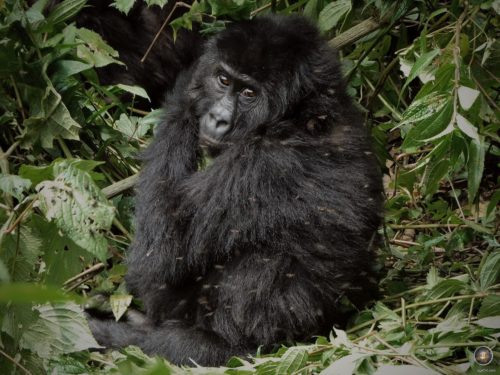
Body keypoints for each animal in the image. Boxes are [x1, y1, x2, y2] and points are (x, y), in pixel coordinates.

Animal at [88, 14, 382, 368]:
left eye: (249, 92)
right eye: (223, 80)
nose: (217, 118)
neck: (304, 117)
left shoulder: (258, 165)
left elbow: (160, 254)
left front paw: (186, 96)